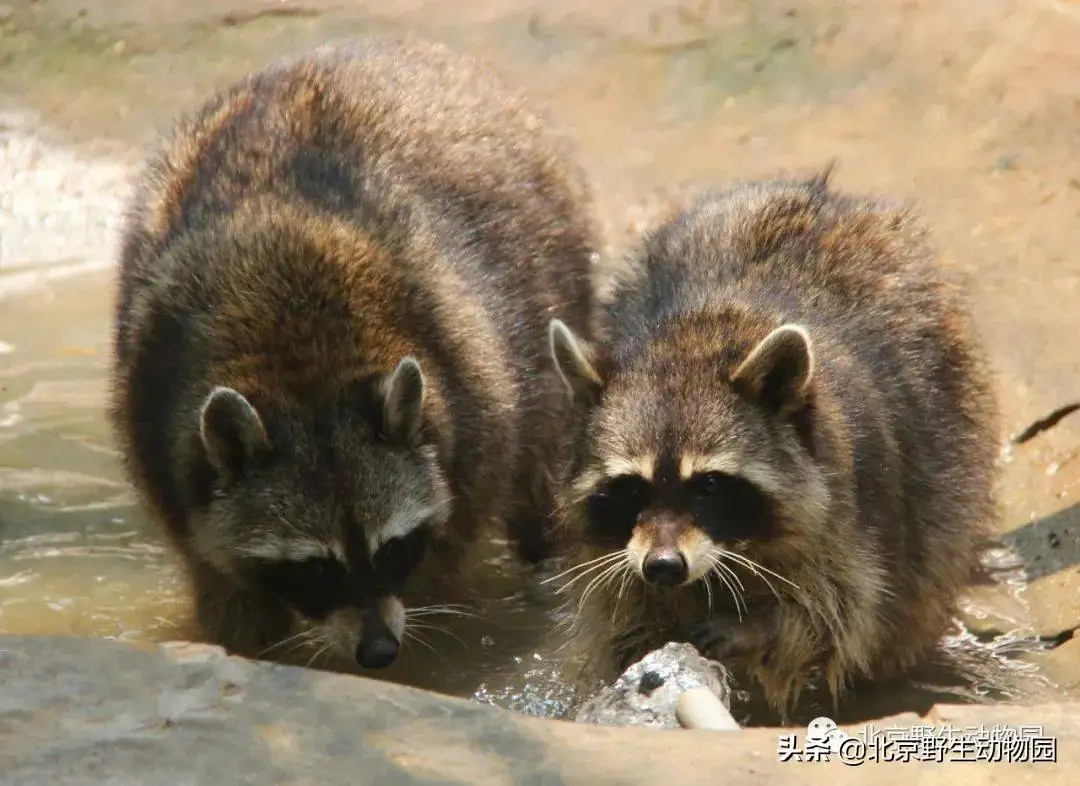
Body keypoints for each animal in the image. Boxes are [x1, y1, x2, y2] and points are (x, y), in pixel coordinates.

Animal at [107, 36, 600, 673]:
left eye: (391, 550)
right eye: (314, 568)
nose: (379, 651)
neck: (302, 370)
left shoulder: (471, 406)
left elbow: (441, 570)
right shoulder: (158, 430)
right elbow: (223, 581)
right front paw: (245, 646)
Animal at [548, 173, 1002, 716]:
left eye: (708, 486)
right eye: (631, 488)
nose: (663, 567)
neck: (699, 335)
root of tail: (826, 199)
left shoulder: (849, 519)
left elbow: (834, 617)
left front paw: (758, 629)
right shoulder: (611, 554)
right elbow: (620, 616)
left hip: (950, 443)